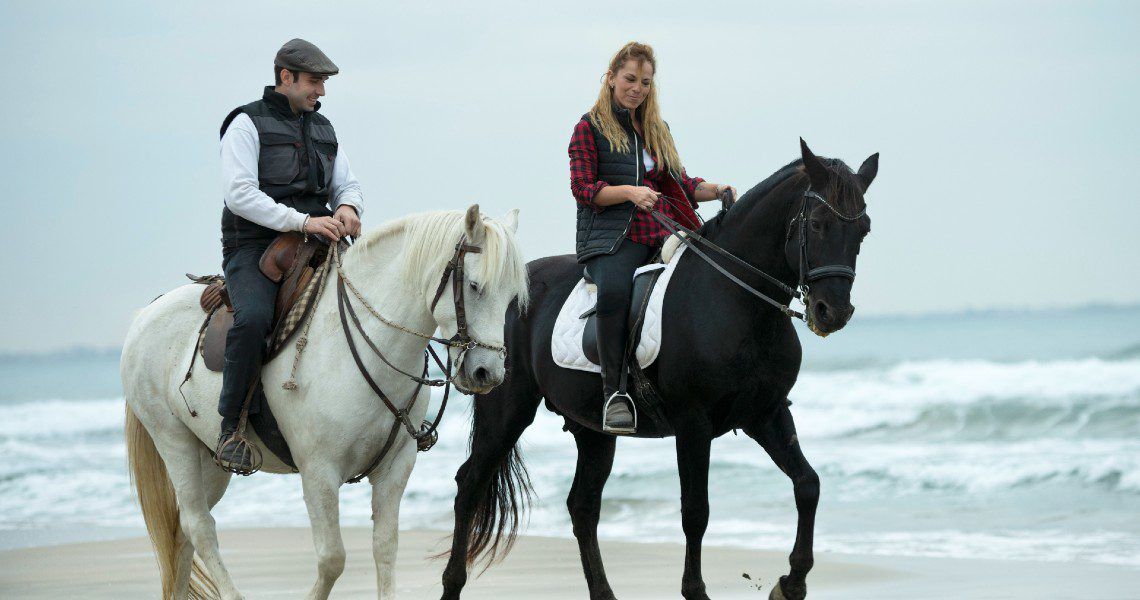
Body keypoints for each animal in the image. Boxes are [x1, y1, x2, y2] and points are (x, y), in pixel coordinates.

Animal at [120, 207, 528, 600]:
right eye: (474, 285)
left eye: (511, 297)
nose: (487, 373)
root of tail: (146, 314)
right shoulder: (319, 472)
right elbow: (333, 558)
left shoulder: (396, 467)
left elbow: (385, 548)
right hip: (174, 441)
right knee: (198, 524)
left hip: (209, 459)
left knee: (184, 531)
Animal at [440, 141, 875, 600]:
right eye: (818, 223)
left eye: (863, 229)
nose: (832, 312)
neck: (734, 297)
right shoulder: (693, 424)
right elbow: (696, 511)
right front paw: (696, 590)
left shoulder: (766, 413)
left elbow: (808, 485)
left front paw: (791, 583)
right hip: (506, 410)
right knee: (469, 486)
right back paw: (452, 583)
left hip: (593, 430)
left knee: (582, 506)